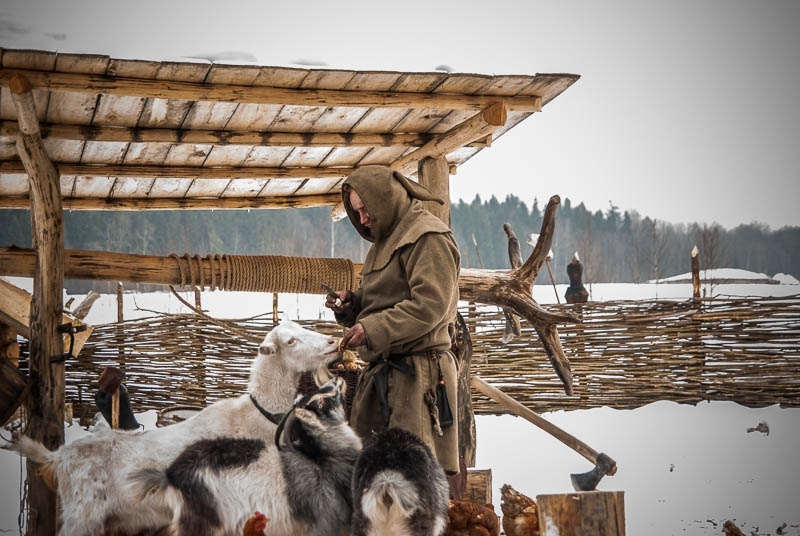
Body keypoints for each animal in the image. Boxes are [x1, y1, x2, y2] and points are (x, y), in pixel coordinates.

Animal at [134, 374, 362, 532]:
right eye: (321, 402)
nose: (337, 378)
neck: (323, 461)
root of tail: (170, 475)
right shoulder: (324, 523)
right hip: (205, 522)